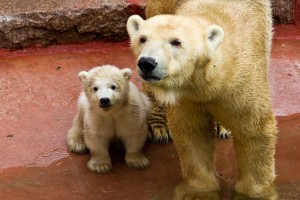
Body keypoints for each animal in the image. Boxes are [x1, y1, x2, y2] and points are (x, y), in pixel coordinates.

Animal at [126, 0, 276, 200]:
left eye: (176, 42)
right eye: (142, 39)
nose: (147, 63)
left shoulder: (242, 79)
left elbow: (254, 130)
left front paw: (254, 194)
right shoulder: (187, 95)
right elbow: (192, 131)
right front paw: (199, 192)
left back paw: (224, 128)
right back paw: (159, 126)